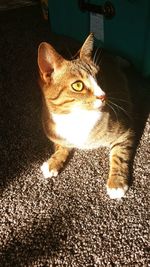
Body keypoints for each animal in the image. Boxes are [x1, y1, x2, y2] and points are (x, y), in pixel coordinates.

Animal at [37, 34, 134, 199]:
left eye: (99, 77)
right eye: (78, 85)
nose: (103, 96)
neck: (77, 117)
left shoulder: (125, 130)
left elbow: (119, 155)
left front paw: (116, 183)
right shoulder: (56, 133)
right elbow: (62, 146)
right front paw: (53, 161)